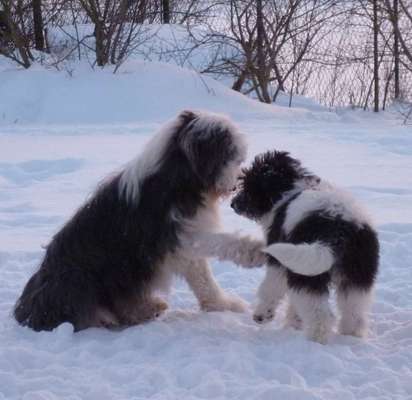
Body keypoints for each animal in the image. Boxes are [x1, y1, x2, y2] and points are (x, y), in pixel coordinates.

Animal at [14, 109, 264, 332]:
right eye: (231, 156)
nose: (237, 182)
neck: (179, 179)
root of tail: (27, 311)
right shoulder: (178, 232)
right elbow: (219, 243)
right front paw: (255, 250)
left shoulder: (185, 241)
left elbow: (203, 278)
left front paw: (222, 304)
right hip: (78, 278)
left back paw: (148, 307)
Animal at [230, 151, 378, 344]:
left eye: (249, 184)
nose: (233, 204)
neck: (289, 191)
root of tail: (339, 228)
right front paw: (294, 323)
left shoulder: (279, 263)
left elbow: (271, 287)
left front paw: (263, 315)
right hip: (356, 275)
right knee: (354, 312)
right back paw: (350, 336)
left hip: (307, 273)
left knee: (320, 315)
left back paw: (315, 340)